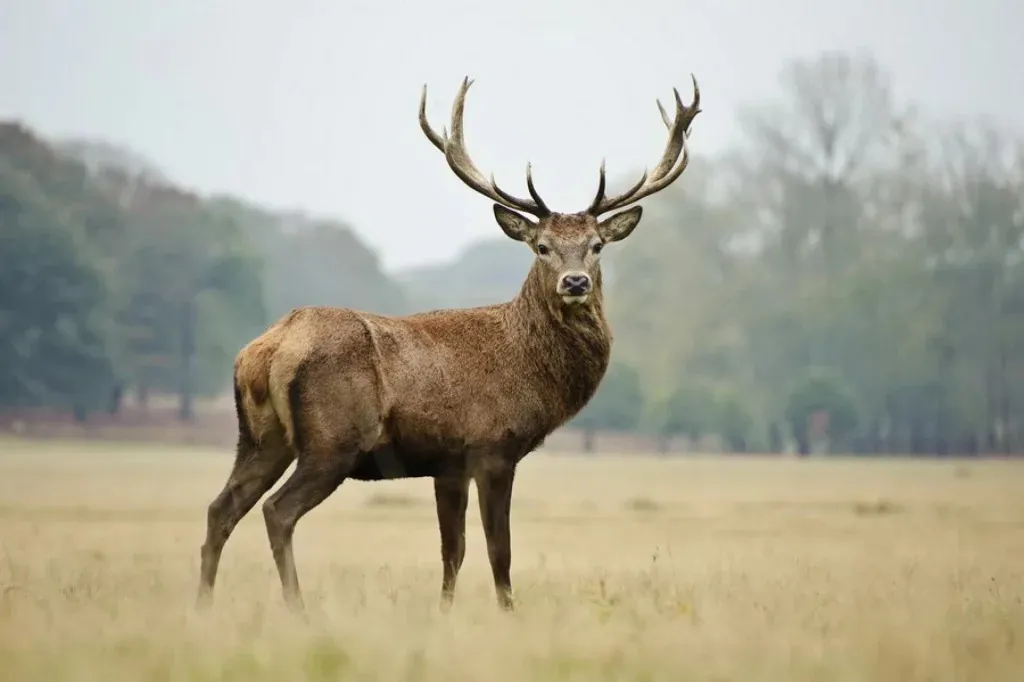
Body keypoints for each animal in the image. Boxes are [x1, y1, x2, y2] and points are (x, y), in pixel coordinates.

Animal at [196, 74, 701, 612]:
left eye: (597, 246)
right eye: (541, 247)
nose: (576, 282)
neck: (529, 369)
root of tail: (266, 350)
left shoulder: (448, 464)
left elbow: (452, 551)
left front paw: (444, 612)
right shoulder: (492, 446)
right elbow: (499, 550)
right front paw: (508, 612)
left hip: (260, 437)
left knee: (220, 508)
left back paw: (203, 606)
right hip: (332, 440)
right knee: (277, 511)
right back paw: (298, 609)